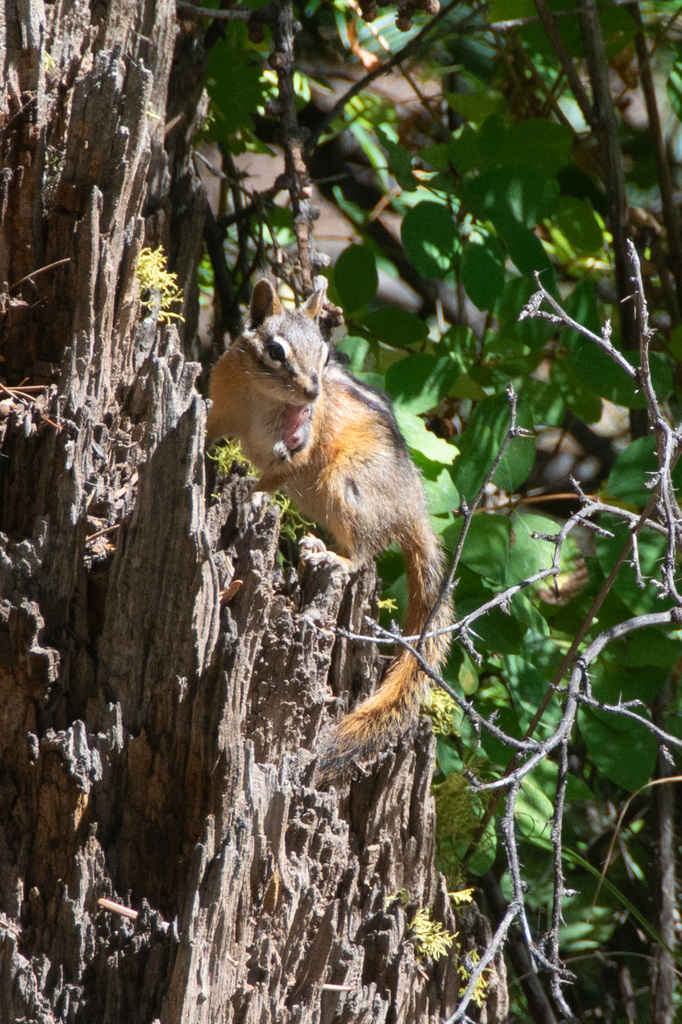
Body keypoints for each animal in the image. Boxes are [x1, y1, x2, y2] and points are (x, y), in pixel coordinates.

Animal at [206, 278, 452, 777]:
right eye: (275, 351)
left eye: (324, 353)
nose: (312, 392)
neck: (264, 399)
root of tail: (413, 507)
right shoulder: (223, 406)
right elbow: (208, 431)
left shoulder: (301, 447)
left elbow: (279, 473)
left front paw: (255, 495)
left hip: (347, 484)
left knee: (364, 556)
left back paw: (330, 554)